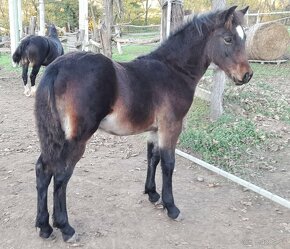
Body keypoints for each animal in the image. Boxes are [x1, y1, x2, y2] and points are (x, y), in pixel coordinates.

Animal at [33, 6, 251, 243]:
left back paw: (44, 226)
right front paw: (171, 207)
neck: (174, 70)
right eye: (228, 39)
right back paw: (66, 228)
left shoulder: (155, 130)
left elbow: (152, 158)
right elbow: (168, 163)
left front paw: (153, 194)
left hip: (56, 136)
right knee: (61, 175)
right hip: (77, 138)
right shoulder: (171, 127)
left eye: (244, 37)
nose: (246, 75)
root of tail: (56, 68)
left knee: (43, 169)